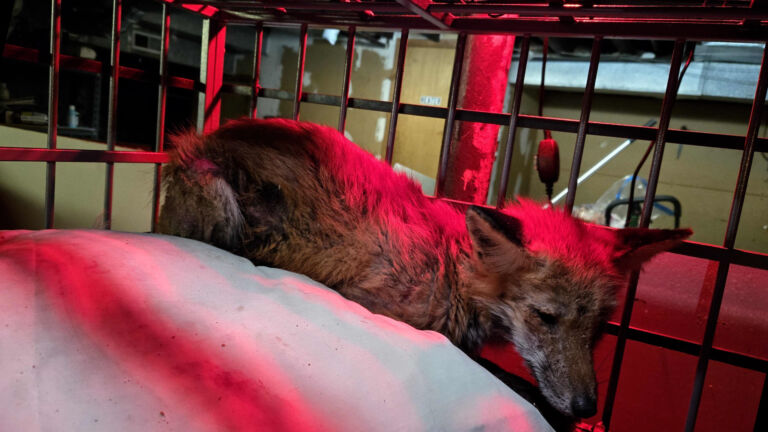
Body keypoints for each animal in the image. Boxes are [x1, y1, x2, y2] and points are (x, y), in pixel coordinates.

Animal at [158, 118, 691, 422]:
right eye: (546, 317)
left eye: (598, 329)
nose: (587, 408)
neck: (447, 269)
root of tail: (199, 137)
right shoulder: (393, 311)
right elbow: (509, 382)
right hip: (217, 201)